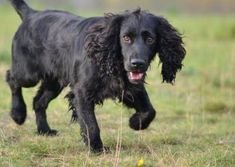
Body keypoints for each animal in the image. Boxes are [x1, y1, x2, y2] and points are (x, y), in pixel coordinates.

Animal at [6, 0, 185, 152]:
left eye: (150, 39)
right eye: (126, 38)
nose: (137, 63)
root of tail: (31, 14)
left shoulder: (131, 87)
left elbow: (150, 110)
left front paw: (135, 123)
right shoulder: (82, 93)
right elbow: (91, 123)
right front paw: (97, 148)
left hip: (54, 82)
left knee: (38, 102)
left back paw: (44, 130)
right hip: (28, 74)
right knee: (11, 78)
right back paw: (18, 113)